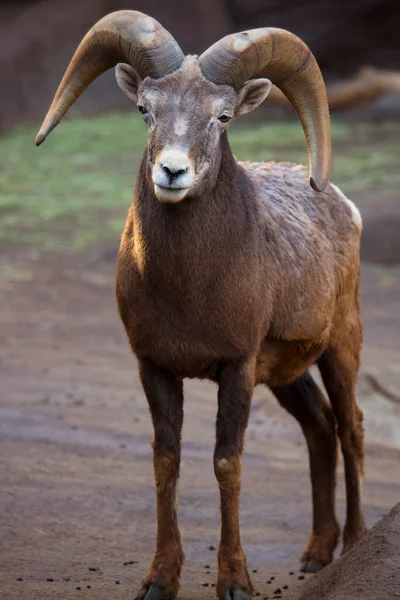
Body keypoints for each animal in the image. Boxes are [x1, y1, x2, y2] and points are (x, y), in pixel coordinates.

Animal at [35, 9, 366, 600]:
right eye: (145, 110)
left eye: (223, 117)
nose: (172, 173)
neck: (187, 293)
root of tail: (345, 207)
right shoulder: (155, 367)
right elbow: (167, 461)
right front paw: (158, 580)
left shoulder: (235, 368)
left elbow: (226, 463)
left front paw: (234, 582)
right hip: (286, 376)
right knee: (320, 429)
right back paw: (315, 555)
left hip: (340, 347)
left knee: (350, 430)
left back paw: (351, 548)